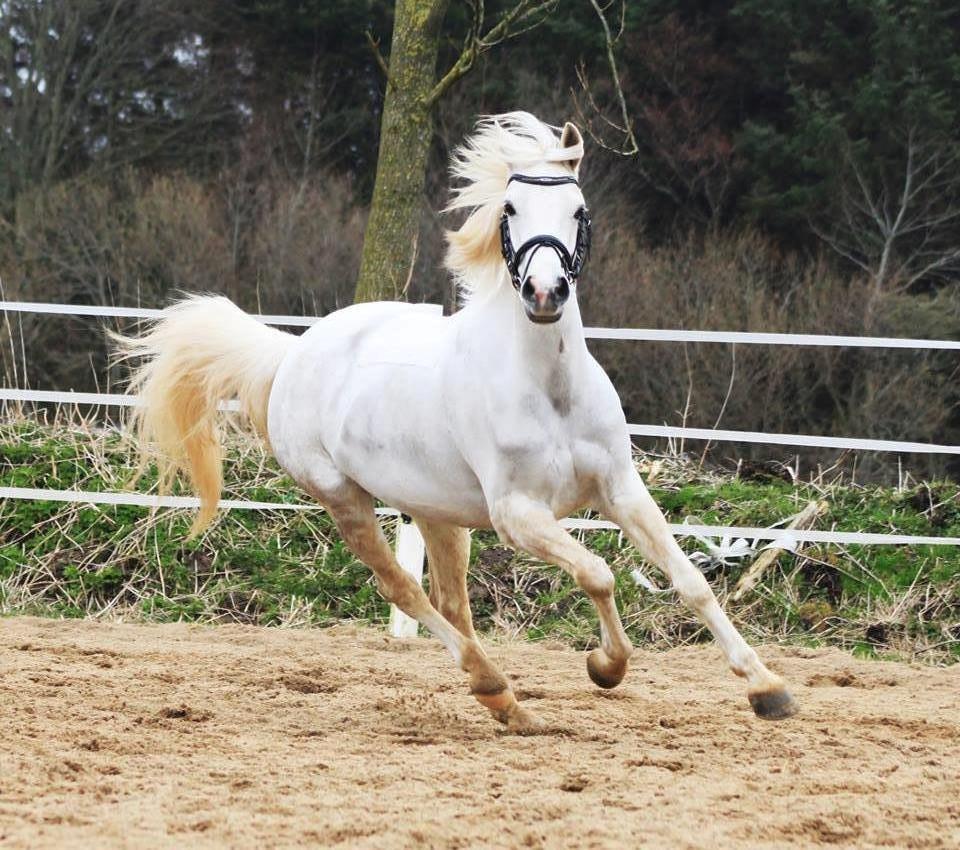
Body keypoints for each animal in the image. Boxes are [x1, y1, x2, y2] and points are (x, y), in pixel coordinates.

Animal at [116, 109, 800, 724]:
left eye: (578, 211)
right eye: (510, 211)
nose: (545, 293)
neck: (549, 388)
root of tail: (293, 353)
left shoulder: (620, 487)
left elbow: (690, 581)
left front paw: (767, 688)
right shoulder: (517, 515)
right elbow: (599, 573)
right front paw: (606, 667)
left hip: (438, 513)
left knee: (453, 601)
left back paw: (506, 703)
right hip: (344, 499)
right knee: (405, 589)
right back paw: (495, 688)